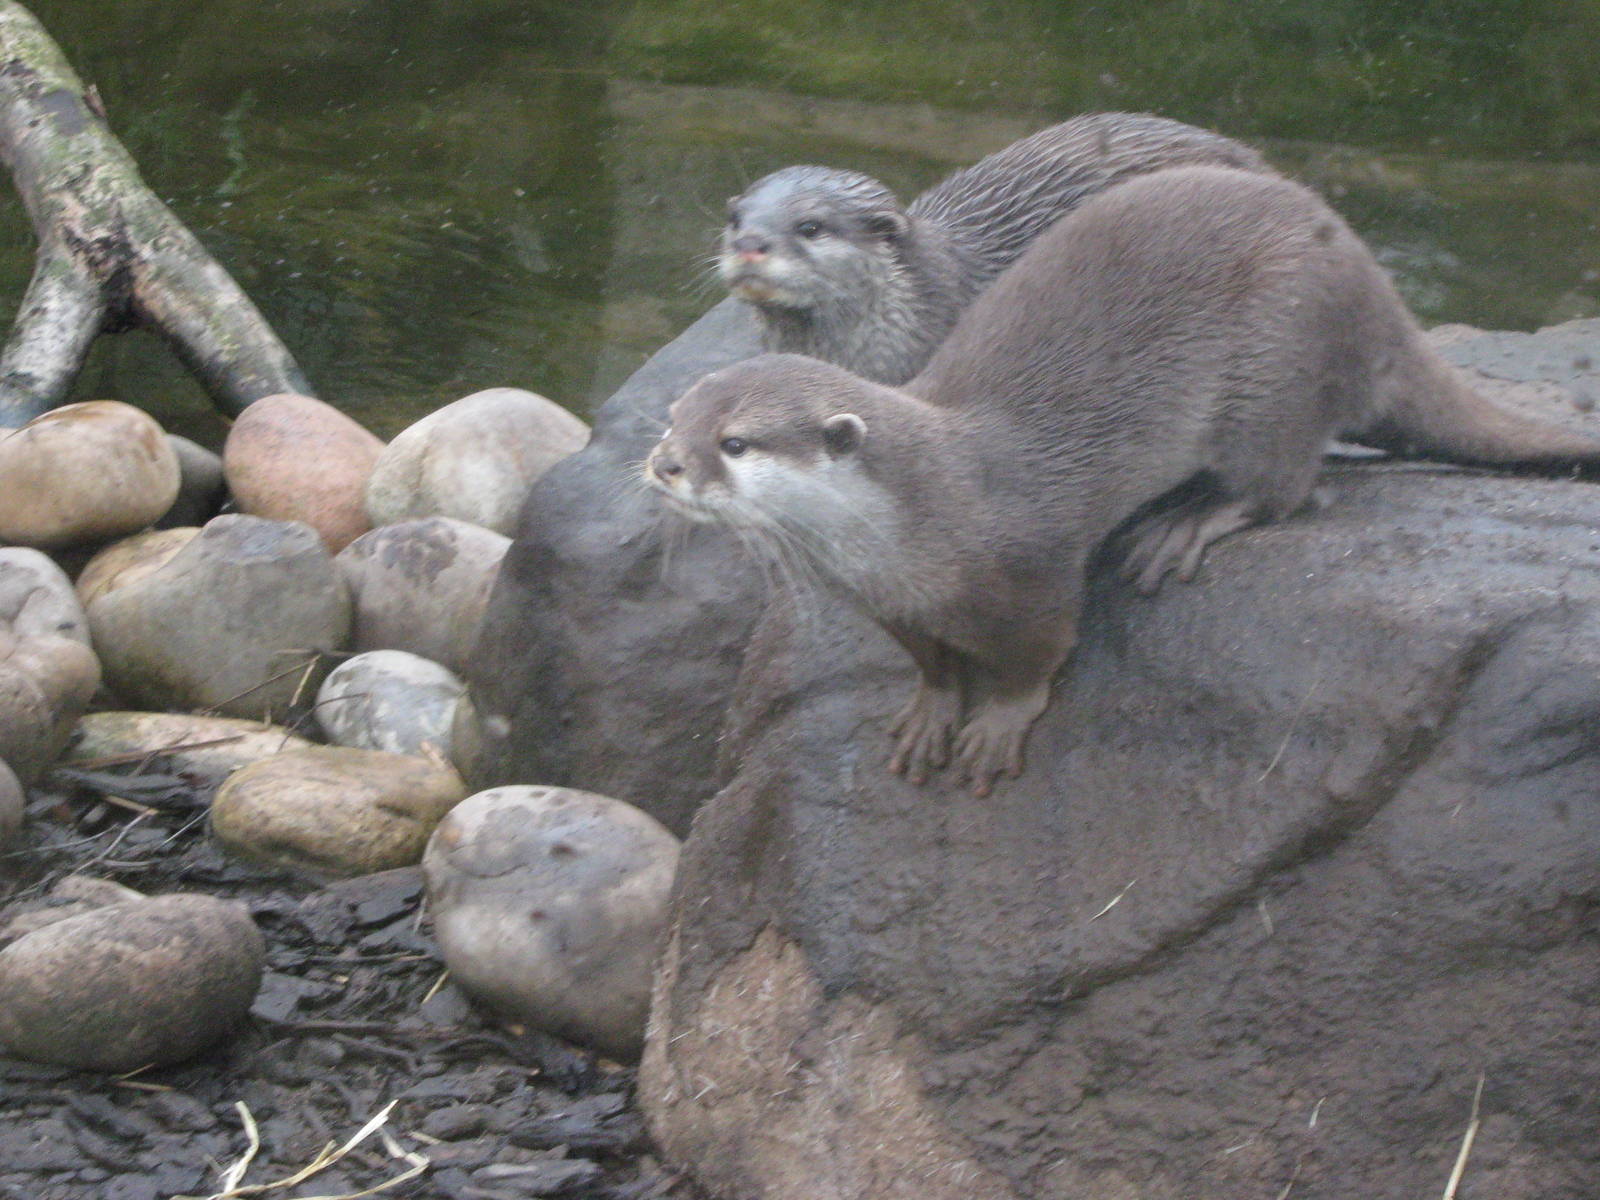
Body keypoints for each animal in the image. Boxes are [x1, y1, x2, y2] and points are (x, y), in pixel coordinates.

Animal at [652, 166, 1600, 795]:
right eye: (674, 416)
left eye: (734, 443)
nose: (664, 463)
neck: (922, 516)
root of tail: (1378, 298)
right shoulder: (891, 606)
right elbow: (929, 663)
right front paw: (931, 713)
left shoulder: (1031, 572)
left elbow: (1038, 655)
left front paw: (997, 724)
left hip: (1281, 352)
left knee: (1286, 481)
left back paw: (1188, 520)